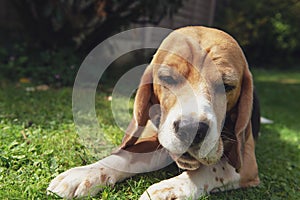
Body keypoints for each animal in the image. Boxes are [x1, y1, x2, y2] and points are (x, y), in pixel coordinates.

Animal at [47, 25, 260, 199]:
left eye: (227, 85)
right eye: (167, 78)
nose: (190, 130)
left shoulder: (247, 162)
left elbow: (214, 169)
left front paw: (168, 190)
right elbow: (127, 155)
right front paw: (83, 174)